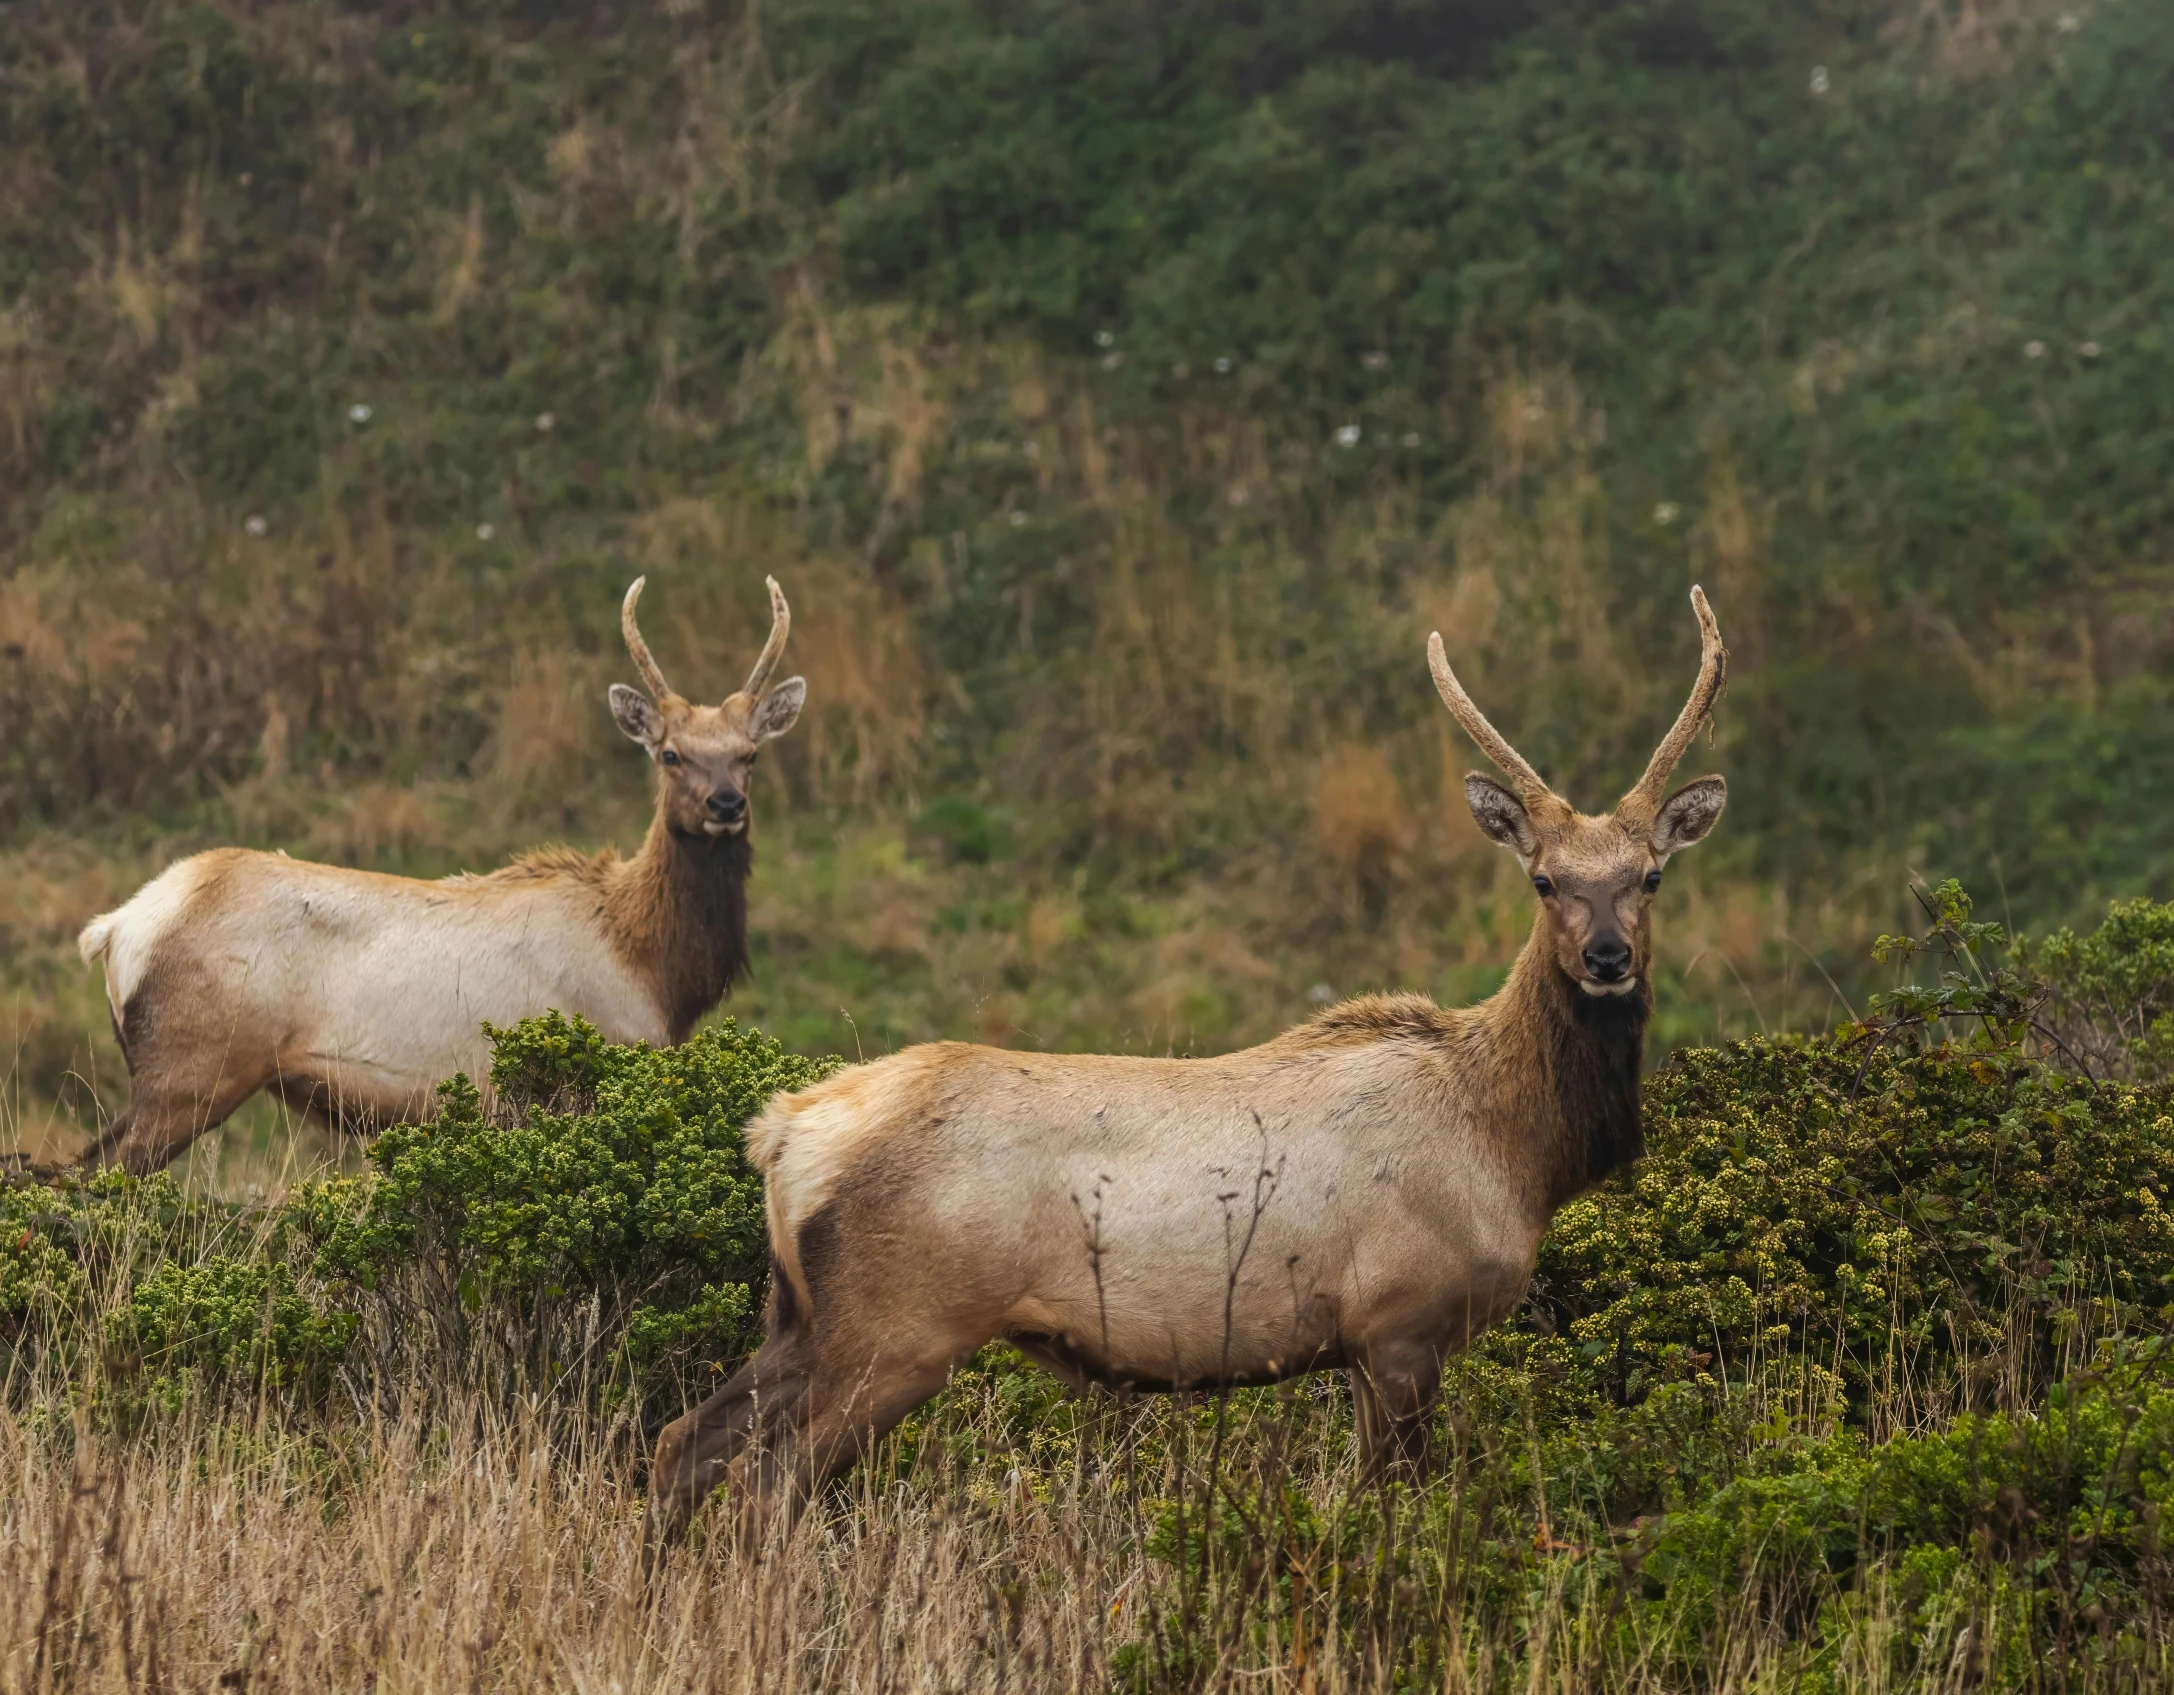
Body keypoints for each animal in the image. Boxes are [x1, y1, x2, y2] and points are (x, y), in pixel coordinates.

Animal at [76, 578, 813, 1173]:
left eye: (749, 754)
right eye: (670, 754)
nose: (726, 804)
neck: (652, 970)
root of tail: (114, 929)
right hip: (190, 1069)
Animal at [643, 582, 1730, 1547]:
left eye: (1650, 876)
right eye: (1543, 880)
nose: (1606, 957)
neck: (1515, 1147)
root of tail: (782, 1132)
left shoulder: (1372, 1342)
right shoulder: (1398, 1323)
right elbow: (1393, 1512)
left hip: (799, 1316)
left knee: (681, 1441)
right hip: (895, 1324)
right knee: (765, 1485)